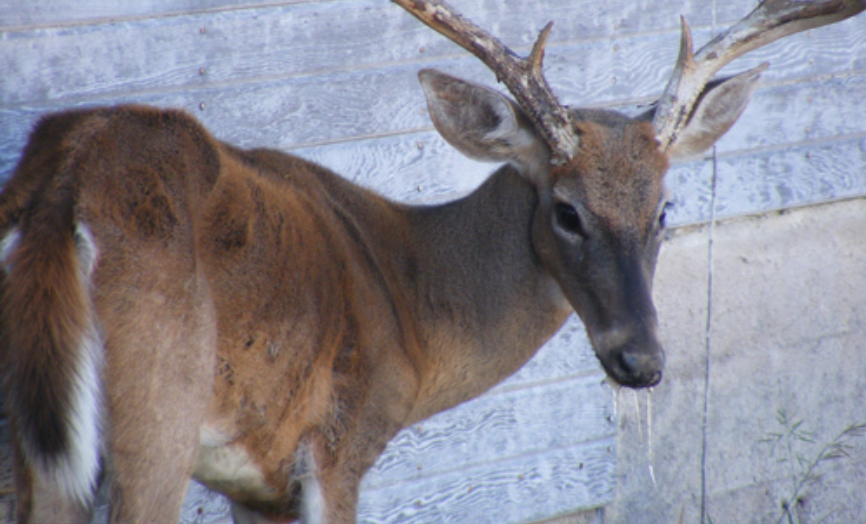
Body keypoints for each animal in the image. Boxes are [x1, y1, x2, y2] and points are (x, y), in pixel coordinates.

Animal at [1, 0, 862, 522]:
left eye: (664, 210)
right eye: (566, 211)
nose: (642, 361)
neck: (410, 305)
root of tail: (68, 181)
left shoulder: (260, 481)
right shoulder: (338, 446)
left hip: (35, 438)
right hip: (157, 413)